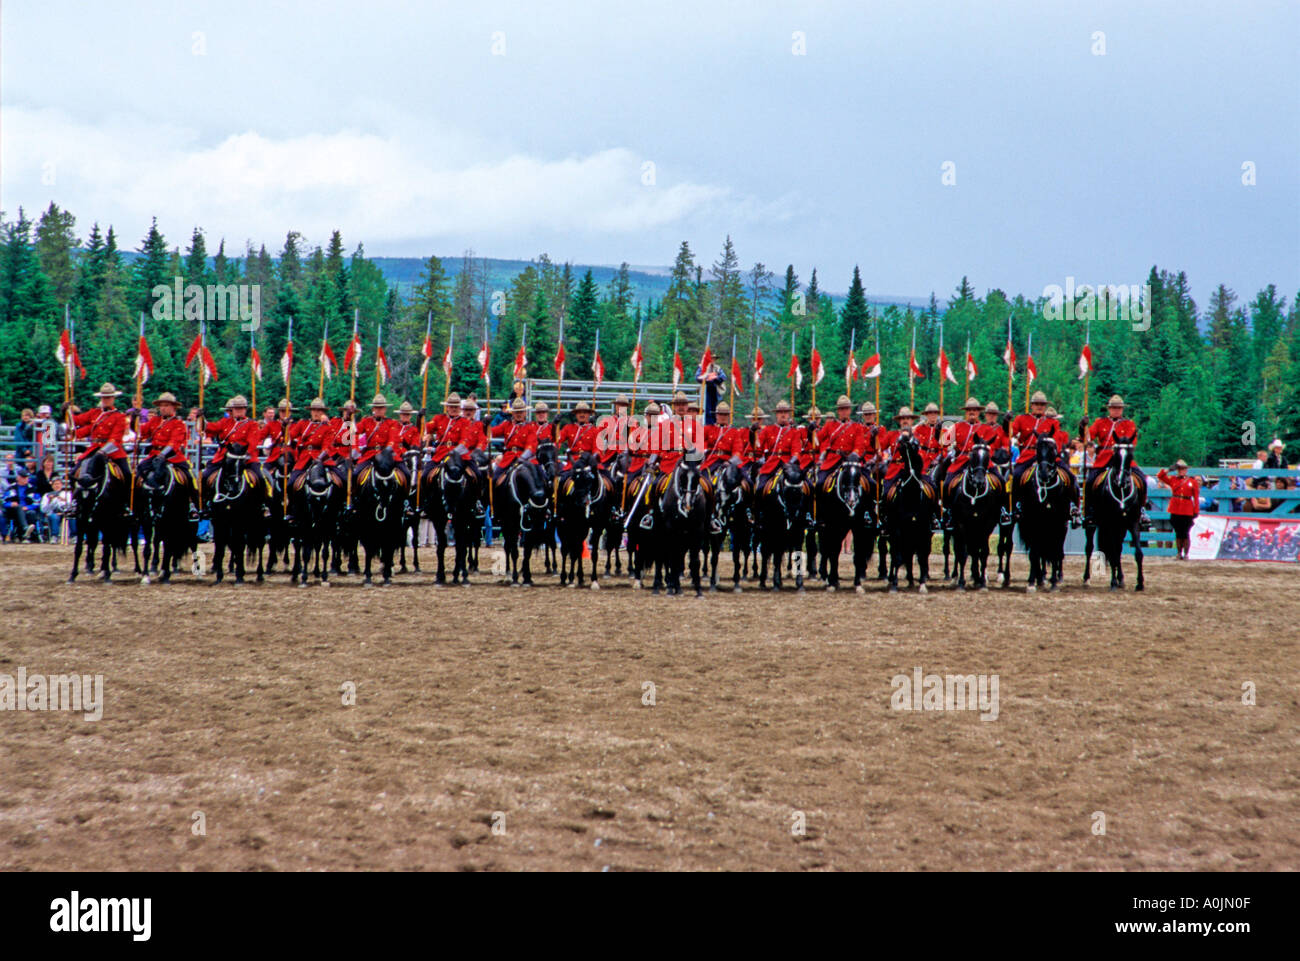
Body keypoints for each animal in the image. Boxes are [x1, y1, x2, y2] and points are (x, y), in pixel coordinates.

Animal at [66, 452, 130, 582]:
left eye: (93, 494)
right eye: (78, 494)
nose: (86, 515)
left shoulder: (106, 520)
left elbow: (106, 547)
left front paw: (107, 574)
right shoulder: (82, 521)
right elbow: (79, 547)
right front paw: (73, 575)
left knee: (111, 544)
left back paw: (111, 567)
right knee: (95, 542)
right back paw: (93, 567)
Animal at [878, 436, 941, 592]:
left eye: (915, 447)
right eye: (900, 449)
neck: (911, 494)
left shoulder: (923, 530)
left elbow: (922, 555)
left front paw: (923, 582)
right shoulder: (897, 530)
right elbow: (898, 556)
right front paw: (894, 584)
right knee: (897, 553)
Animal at [1076, 442, 1149, 590]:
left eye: (1130, 457)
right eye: (1116, 457)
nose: (1122, 480)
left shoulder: (1132, 523)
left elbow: (1137, 552)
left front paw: (1139, 582)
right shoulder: (1110, 524)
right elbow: (1112, 552)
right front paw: (1113, 582)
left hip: (1120, 528)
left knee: (1117, 549)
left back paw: (1120, 578)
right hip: (1093, 525)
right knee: (1090, 548)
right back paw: (1087, 578)